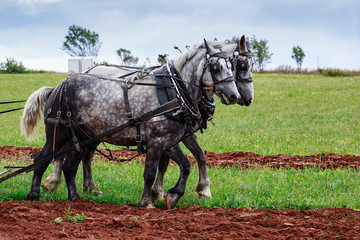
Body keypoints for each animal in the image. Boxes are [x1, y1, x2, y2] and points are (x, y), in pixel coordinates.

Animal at [19, 39, 239, 208]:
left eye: (232, 66)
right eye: (216, 67)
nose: (234, 96)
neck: (173, 91)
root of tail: (57, 88)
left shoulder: (168, 141)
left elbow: (186, 164)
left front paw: (173, 195)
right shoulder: (157, 141)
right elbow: (150, 172)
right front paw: (147, 202)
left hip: (81, 137)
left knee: (70, 166)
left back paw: (76, 198)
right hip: (59, 132)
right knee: (42, 159)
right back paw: (34, 195)